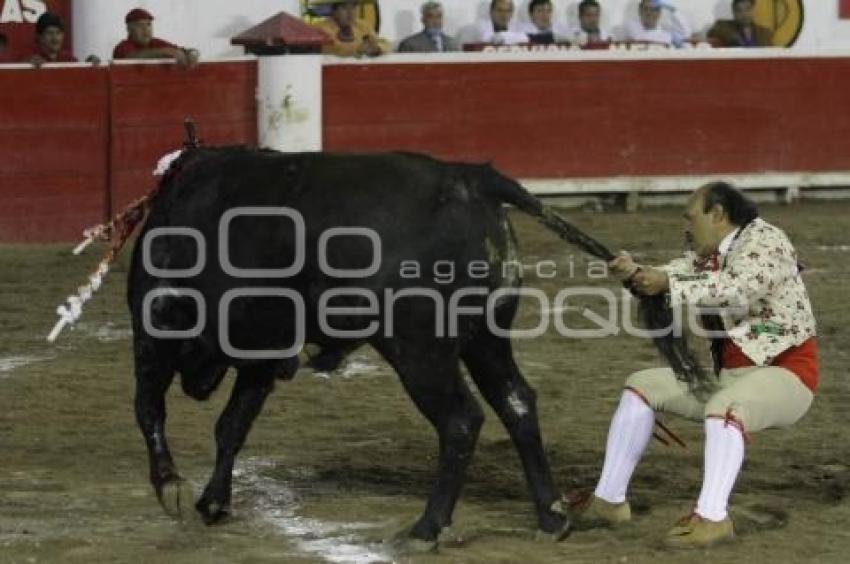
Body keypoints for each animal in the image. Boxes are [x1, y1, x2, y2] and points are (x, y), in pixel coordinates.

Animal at [126, 148, 696, 544]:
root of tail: (471, 177)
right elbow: (233, 426)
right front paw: (212, 502)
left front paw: (171, 485)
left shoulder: (155, 331)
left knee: (461, 419)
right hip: (485, 339)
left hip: (418, 349)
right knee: (516, 403)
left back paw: (429, 527)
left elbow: (149, 406)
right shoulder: (264, 352)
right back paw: (551, 518)